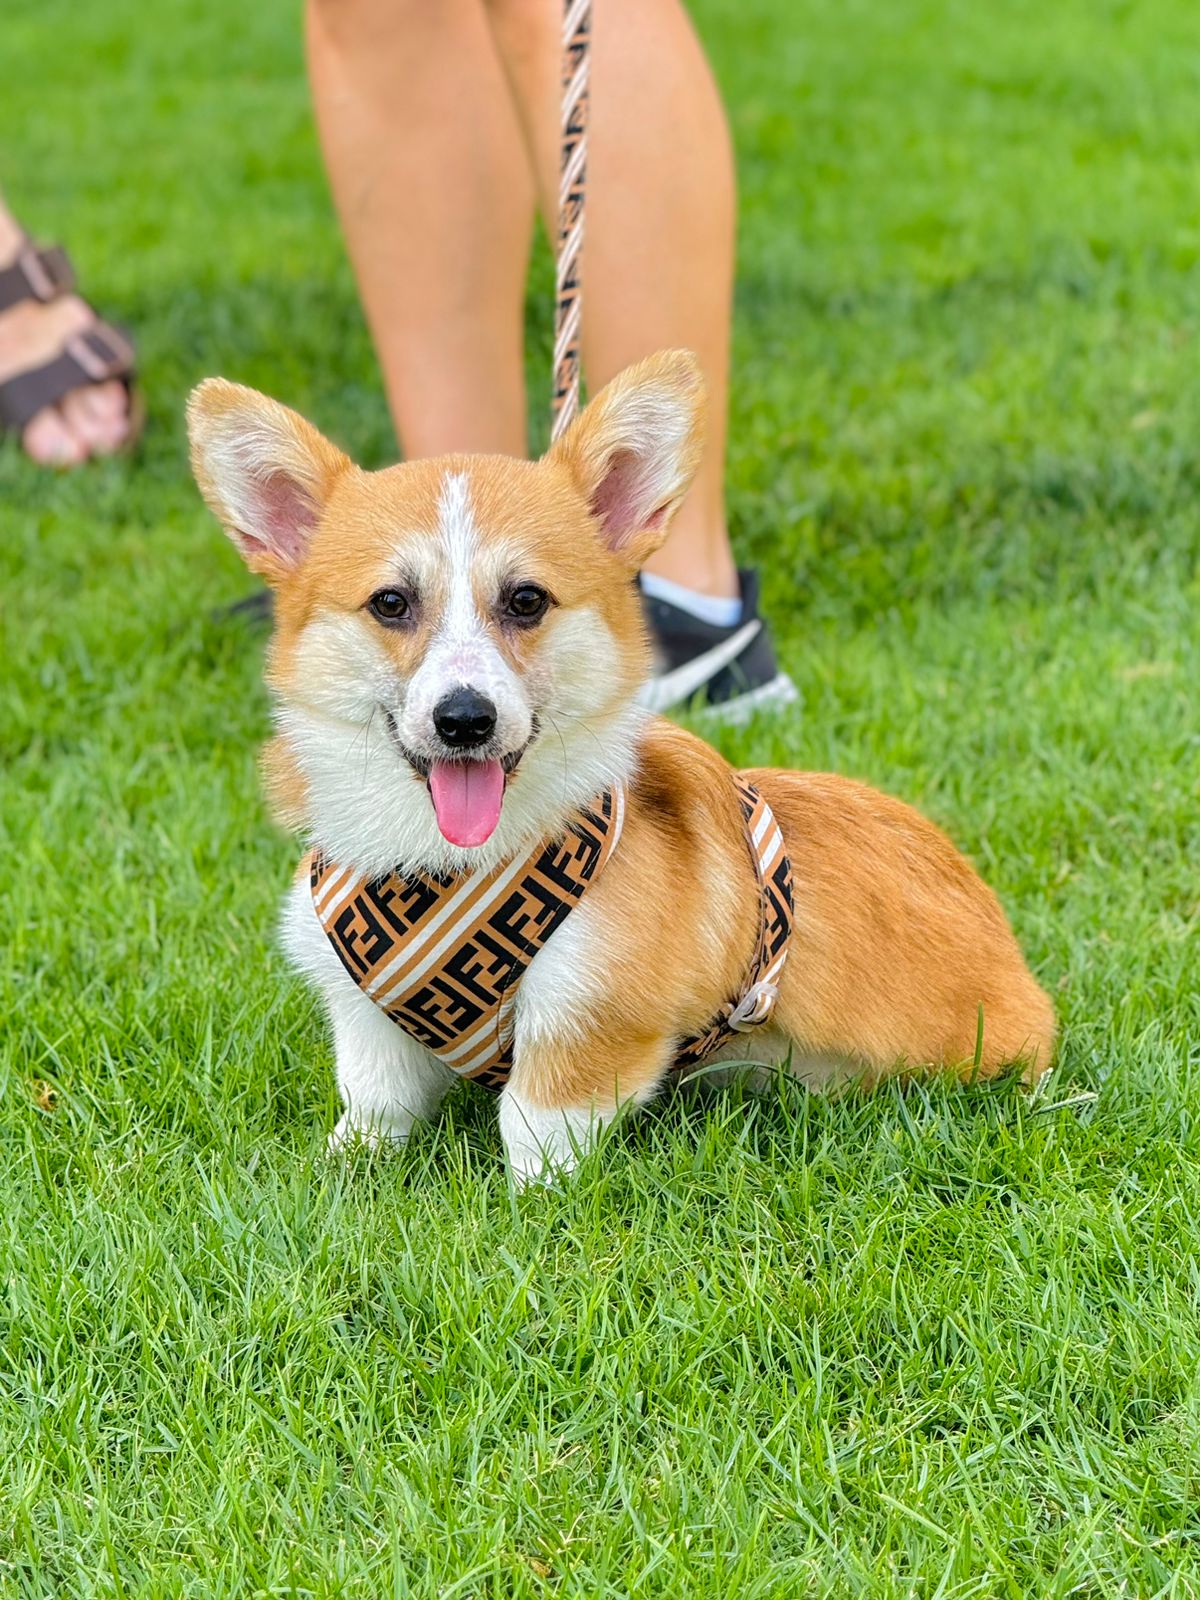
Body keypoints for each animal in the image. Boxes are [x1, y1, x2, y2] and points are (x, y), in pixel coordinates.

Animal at [185, 350, 1049, 1184]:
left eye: (527, 600)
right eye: (391, 603)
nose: (464, 719)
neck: (437, 868)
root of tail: (1016, 963)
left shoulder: (587, 1018)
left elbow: (532, 1128)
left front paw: (532, 1206)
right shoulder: (364, 1019)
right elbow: (374, 1105)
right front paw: (339, 1175)